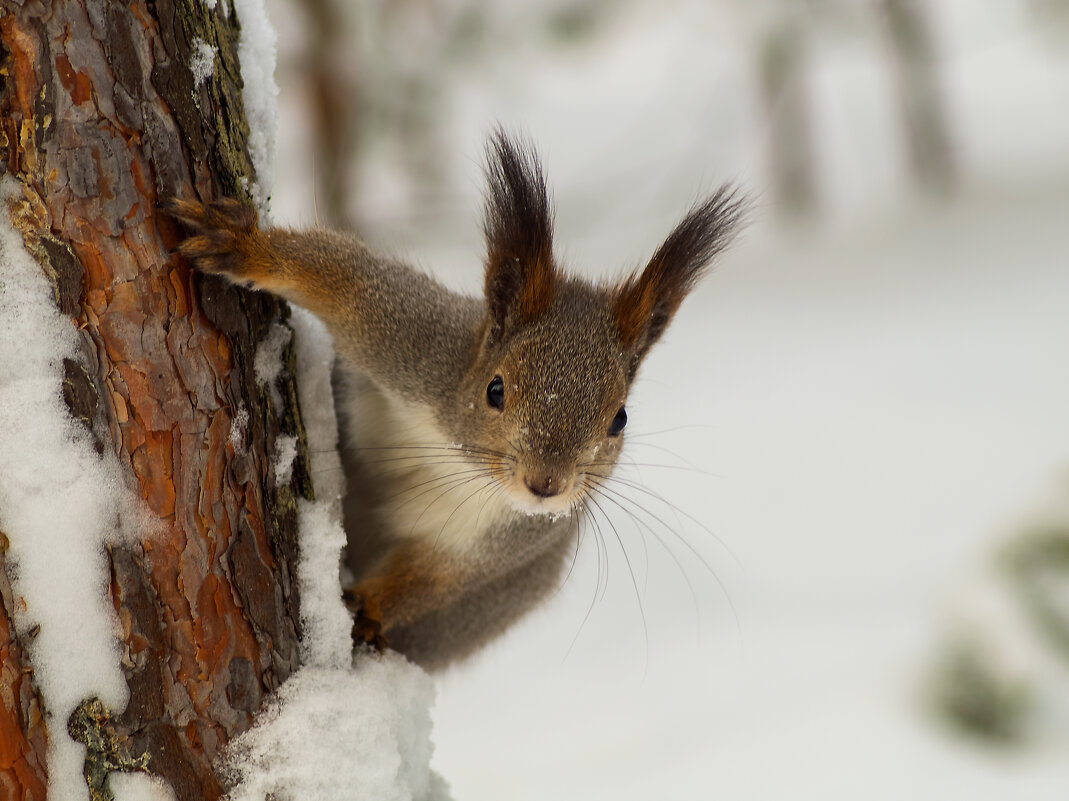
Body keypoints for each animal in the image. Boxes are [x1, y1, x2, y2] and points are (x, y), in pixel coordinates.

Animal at [171, 131, 748, 667]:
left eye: (620, 419)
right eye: (495, 390)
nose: (546, 486)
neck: (463, 464)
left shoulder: (510, 539)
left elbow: (436, 578)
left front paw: (371, 608)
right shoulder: (415, 343)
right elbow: (345, 282)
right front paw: (245, 245)